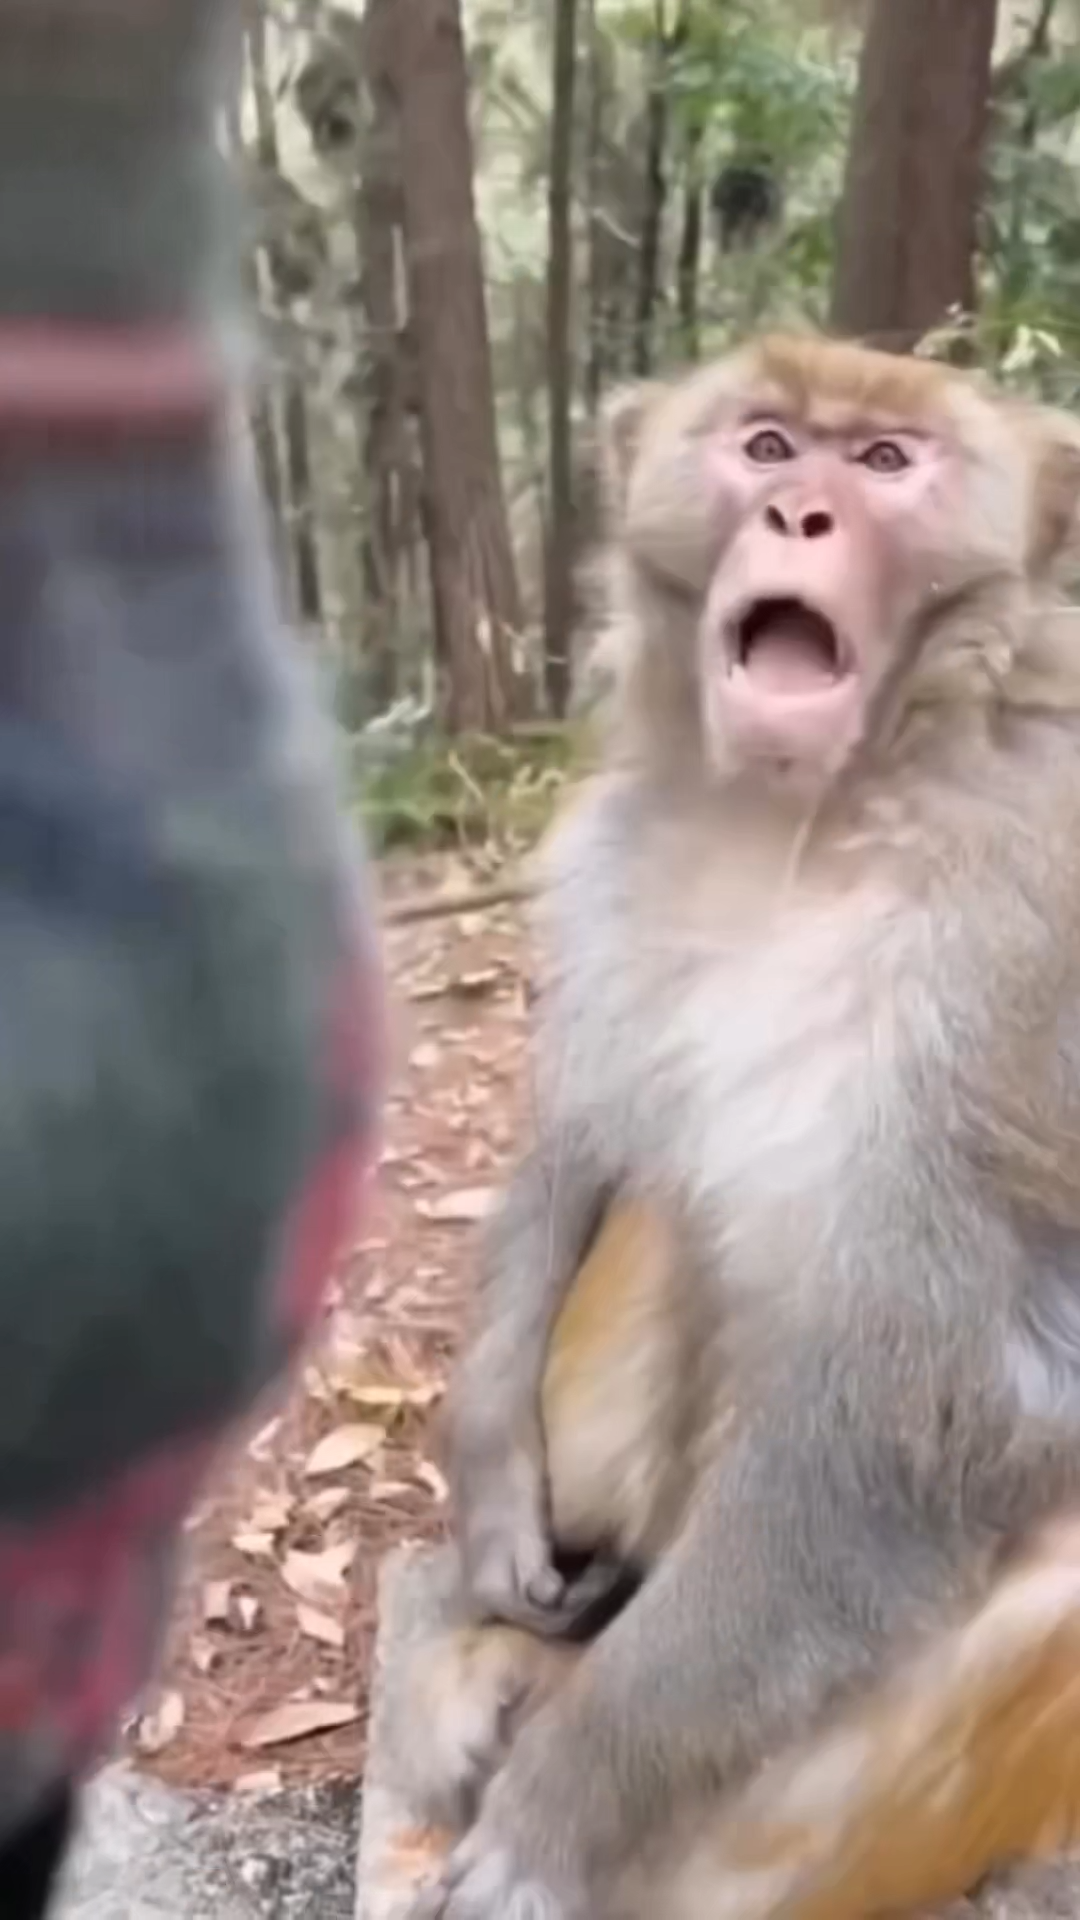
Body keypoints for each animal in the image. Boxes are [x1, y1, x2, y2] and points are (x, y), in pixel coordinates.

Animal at [402, 331, 1080, 1920]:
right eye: (769, 445)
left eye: (886, 463)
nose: (799, 516)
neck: (809, 814)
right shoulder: (600, 857)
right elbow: (582, 1143)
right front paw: (493, 1493)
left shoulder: (1008, 954)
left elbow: (922, 1403)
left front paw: (568, 1800)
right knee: (672, 1212)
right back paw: (516, 1654)